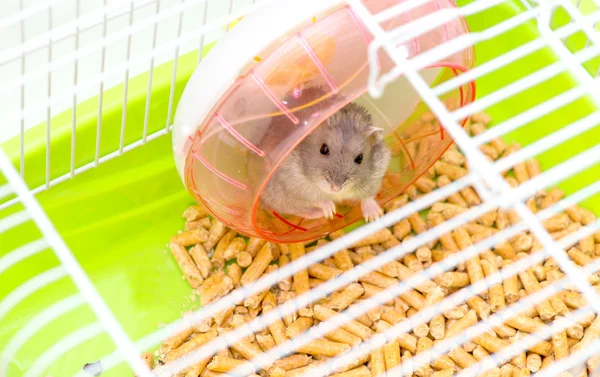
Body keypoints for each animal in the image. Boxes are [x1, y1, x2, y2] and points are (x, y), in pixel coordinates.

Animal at [258, 88, 394, 220]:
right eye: (323, 149)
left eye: (360, 158)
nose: (336, 188)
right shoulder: (296, 186)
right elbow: (317, 200)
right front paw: (330, 211)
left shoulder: (376, 174)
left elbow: (368, 196)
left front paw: (375, 216)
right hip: (277, 198)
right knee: (294, 209)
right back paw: (318, 214)